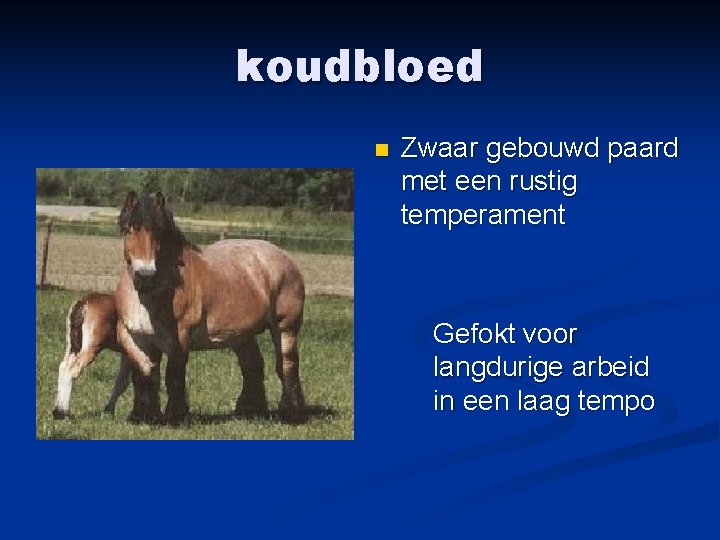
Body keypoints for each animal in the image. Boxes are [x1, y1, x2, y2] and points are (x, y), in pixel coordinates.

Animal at [115, 191, 306, 424]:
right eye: (128, 229)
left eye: (158, 231)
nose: (145, 275)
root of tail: (284, 258)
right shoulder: (134, 337)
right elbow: (143, 377)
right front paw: (142, 416)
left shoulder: (179, 337)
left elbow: (174, 376)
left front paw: (175, 416)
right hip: (242, 335)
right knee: (252, 365)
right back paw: (250, 410)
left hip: (285, 328)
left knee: (287, 365)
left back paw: (291, 413)